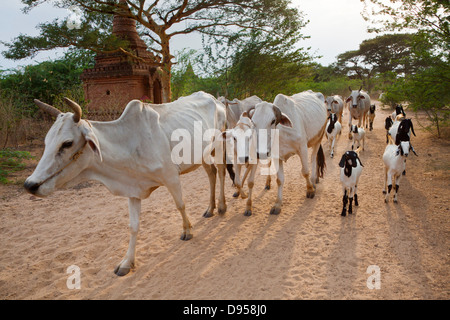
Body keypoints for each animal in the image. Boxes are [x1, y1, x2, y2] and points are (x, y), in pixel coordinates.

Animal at [24, 91, 227, 276]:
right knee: (212, 174)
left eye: (67, 143)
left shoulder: (171, 177)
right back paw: (210, 208)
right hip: (202, 154)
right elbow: (133, 226)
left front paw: (187, 231)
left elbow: (180, 205)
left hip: (219, 145)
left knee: (222, 172)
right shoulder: (133, 190)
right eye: (46, 141)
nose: (29, 184)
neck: (129, 143)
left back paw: (222, 206)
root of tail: (215, 99)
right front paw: (127, 262)